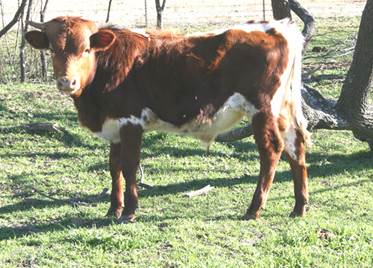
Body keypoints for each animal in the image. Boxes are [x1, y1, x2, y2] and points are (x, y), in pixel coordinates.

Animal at [26, 15, 310, 223]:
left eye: (86, 49)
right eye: (52, 49)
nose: (67, 82)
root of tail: (277, 27)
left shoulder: (130, 121)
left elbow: (129, 166)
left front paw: (129, 211)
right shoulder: (115, 124)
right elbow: (114, 166)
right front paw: (113, 209)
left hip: (262, 109)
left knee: (272, 150)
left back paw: (254, 208)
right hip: (283, 109)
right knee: (296, 146)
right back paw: (299, 206)